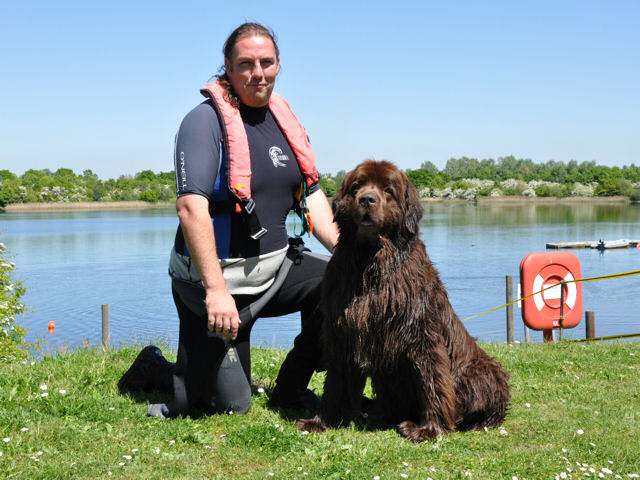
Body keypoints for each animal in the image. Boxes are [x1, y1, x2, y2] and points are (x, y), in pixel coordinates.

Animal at [296, 160, 510, 442]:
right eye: (357, 185)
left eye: (389, 190)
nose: (367, 199)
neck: (371, 262)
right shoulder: (341, 330)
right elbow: (336, 381)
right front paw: (322, 421)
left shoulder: (422, 331)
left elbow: (432, 379)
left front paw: (430, 428)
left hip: (483, 370)